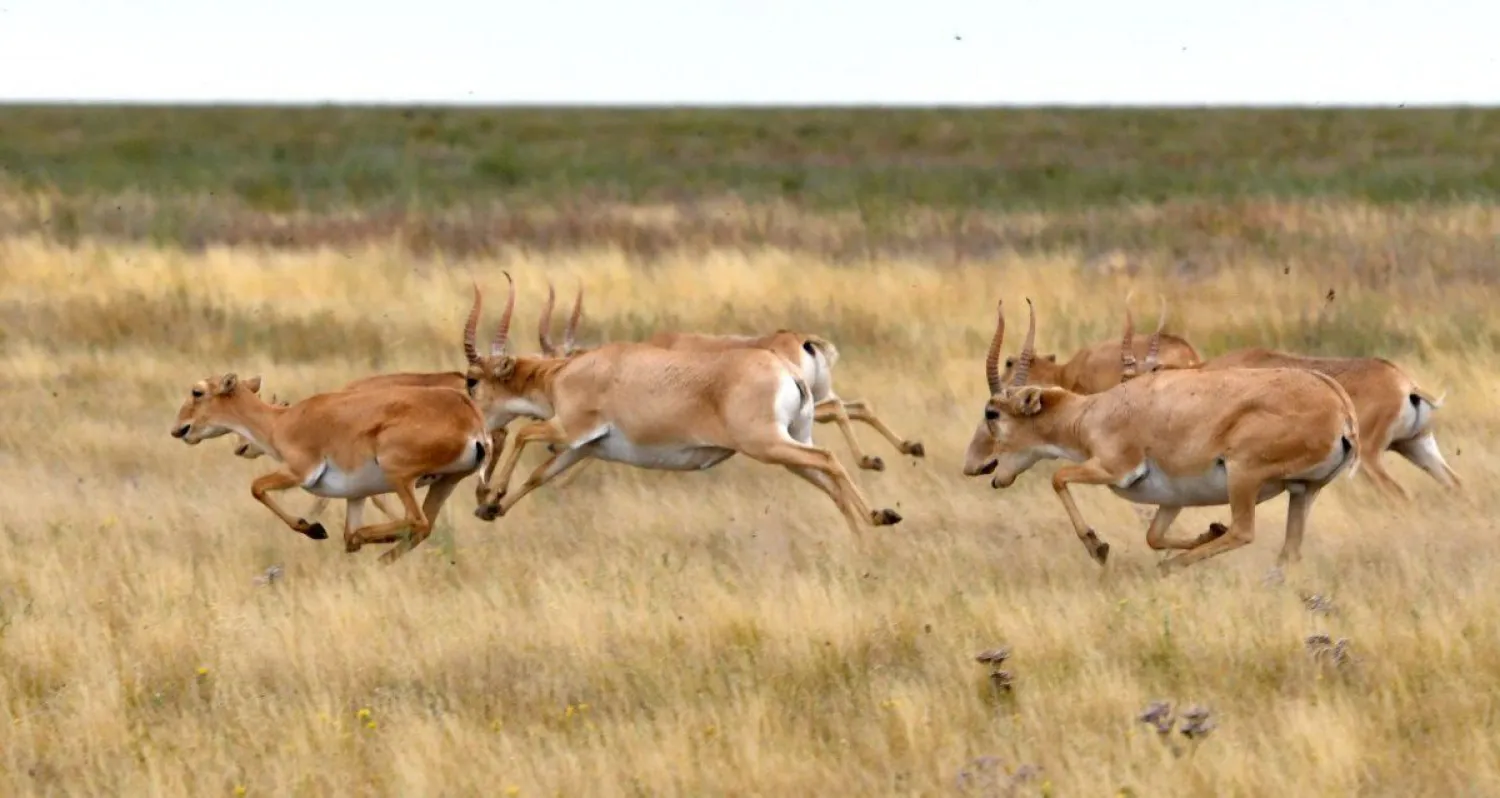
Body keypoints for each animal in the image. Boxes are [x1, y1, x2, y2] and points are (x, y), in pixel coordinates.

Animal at [171, 372, 489, 564]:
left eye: (197, 391)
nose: (178, 429)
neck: (281, 421)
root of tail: (471, 418)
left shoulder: (298, 472)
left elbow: (257, 487)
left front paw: (313, 528)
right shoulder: (356, 495)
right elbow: (348, 532)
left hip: (401, 475)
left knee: (416, 521)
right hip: (445, 482)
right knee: (421, 527)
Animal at [459, 279, 900, 537]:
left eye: (472, 380)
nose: (481, 430)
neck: (569, 371)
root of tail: (791, 362)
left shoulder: (568, 431)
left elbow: (526, 433)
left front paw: (492, 496)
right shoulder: (582, 446)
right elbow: (541, 475)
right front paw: (490, 510)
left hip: (769, 445)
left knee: (829, 457)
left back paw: (878, 510)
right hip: (791, 444)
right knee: (830, 474)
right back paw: (872, 524)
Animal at [966, 300, 1368, 573]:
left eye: (992, 413)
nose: (975, 466)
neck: (1095, 411)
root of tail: (1339, 405)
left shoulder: (1115, 468)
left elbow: (1059, 476)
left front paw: (1098, 547)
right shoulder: (1172, 500)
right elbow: (1153, 536)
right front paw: (1209, 529)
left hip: (1244, 475)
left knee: (1243, 532)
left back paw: (1168, 569)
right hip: (1304, 491)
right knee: (1289, 550)